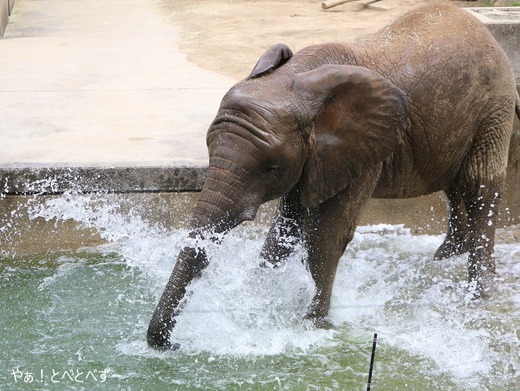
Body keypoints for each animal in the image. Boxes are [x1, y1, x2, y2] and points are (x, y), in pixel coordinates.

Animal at [147, 4, 520, 350]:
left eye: (270, 168)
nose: (172, 344)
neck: (295, 81)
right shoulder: (315, 158)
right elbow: (285, 230)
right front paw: (259, 299)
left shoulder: (361, 150)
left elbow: (325, 235)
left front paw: (312, 325)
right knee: (454, 185)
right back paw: (443, 259)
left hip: (494, 110)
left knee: (479, 187)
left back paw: (478, 295)